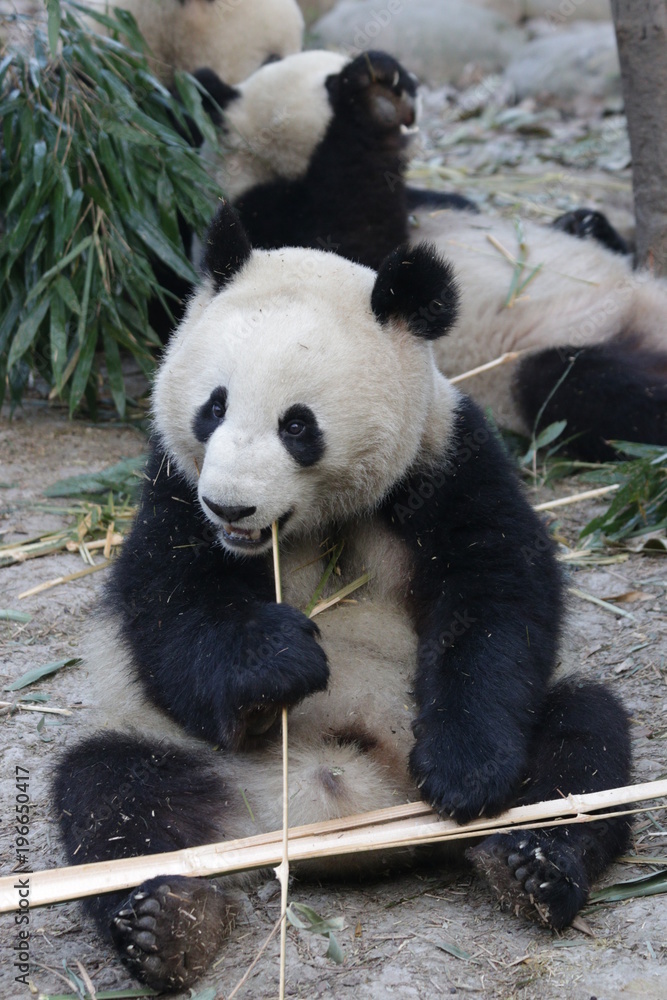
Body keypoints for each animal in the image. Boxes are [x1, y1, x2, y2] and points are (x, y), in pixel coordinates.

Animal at [53, 203, 631, 993]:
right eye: (212, 408)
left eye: (297, 424)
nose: (231, 507)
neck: (313, 522)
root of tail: (344, 816)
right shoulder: (173, 492)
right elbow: (169, 616)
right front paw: (279, 663)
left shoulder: (448, 461)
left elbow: (498, 599)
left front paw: (463, 772)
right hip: (169, 749)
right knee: (108, 794)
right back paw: (167, 925)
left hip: (537, 733)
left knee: (584, 743)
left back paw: (530, 866)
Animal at [198, 49, 667, 463]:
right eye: (329, 83)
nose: (411, 82)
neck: (271, 166)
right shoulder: (269, 222)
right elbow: (355, 243)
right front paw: (372, 96)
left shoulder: (428, 198)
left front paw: (582, 223)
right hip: (532, 360)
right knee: (593, 389)